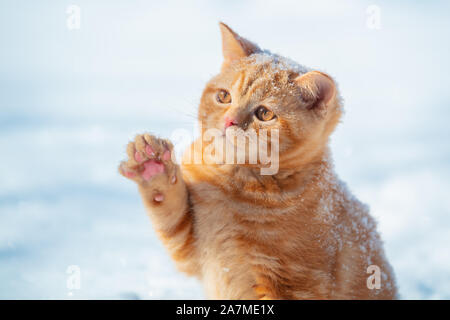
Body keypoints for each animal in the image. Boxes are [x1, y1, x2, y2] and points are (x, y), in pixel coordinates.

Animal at [119, 23, 398, 300]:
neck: (233, 182)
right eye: (224, 97)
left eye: (264, 113)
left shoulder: (295, 283)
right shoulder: (190, 246)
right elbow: (169, 211)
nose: (229, 120)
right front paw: (152, 168)